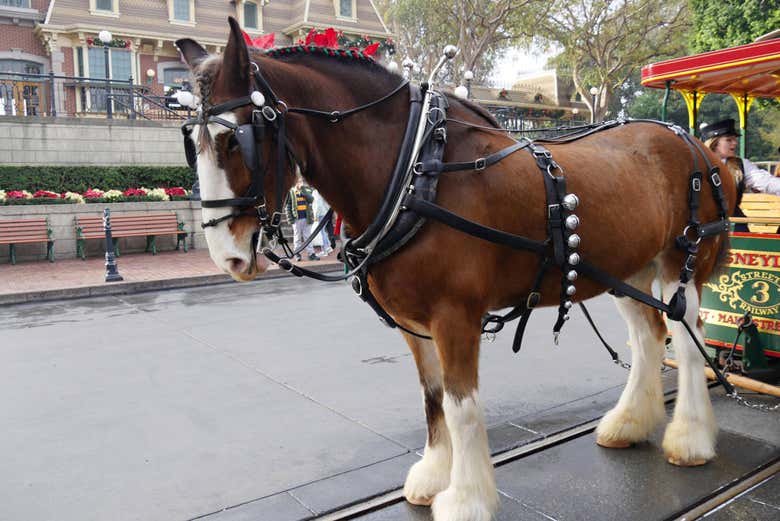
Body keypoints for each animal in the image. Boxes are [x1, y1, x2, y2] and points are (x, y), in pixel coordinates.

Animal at [176, 18, 736, 521]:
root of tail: (698, 147)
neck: (415, 174)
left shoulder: (456, 316)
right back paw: (629, 424)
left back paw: (689, 439)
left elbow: (462, 405)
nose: (226, 255)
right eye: (191, 141)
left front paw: (466, 499)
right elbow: (433, 398)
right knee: (649, 337)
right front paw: (432, 478)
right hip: (626, 270)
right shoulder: (415, 323)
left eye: (235, 141)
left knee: (688, 342)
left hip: (682, 266)